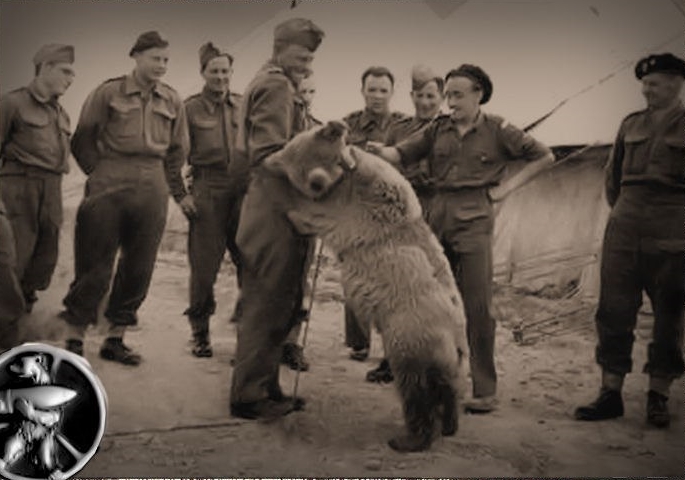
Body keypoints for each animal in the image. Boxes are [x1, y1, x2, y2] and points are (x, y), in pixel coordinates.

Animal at [262, 120, 469, 452]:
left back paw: (408, 438)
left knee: (415, 385)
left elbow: (307, 210)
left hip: (412, 332)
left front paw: (277, 181)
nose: (335, 126)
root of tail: (458, 341)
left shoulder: (349, 208)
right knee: (447, 387)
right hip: (444, 351)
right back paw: (450, 424)